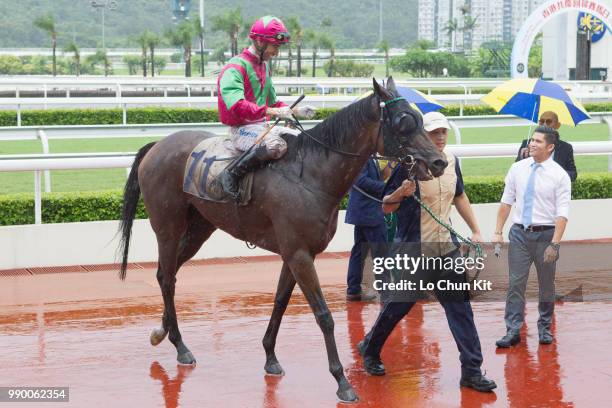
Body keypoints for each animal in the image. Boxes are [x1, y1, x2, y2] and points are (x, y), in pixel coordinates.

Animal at [118, 76, 444, 402]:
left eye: (419, 118)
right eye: (403, 122)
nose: (439, 162)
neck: (310, 176)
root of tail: (157, 145)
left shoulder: (296, 253)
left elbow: (280, 302)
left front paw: (270, 357)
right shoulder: (299, 254)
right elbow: (324, 315)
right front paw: (342, 381)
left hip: (200, 228)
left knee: (166, 273)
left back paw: (162, 332)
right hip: (168, 227)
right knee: (167, 277)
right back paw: (180, 346)